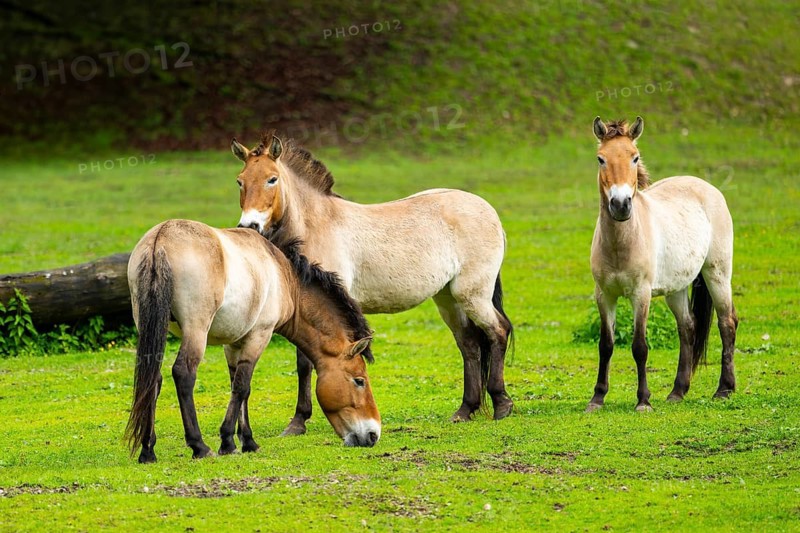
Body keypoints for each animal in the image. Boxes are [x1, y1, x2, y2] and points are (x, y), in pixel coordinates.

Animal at [124, 219, 380, 463]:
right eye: (359, 381)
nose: (373, 435)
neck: (284, 278)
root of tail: (161, 239)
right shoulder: (259, 335)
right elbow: (242, 386)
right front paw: (229, 441)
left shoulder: (234, 343)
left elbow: (236, 386)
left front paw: (244, 440)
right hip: (196, 330)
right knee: (183, 374)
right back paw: (199, 446)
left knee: (153, 380)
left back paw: (148, 450)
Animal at [229, 133, 514, 435]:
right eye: (240, 180)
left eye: (272, 179)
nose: (249, 225)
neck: (316, 225)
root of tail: (488, 211)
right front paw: (298, 421)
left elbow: (305, 363)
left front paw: (298, 421)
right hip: (448, 298)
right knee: (469, 343)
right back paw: (465, 410)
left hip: (472, 295)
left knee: (498, 331)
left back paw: (502, 405)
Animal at [587, 116, 738, 412]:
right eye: (601, 159)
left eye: (635, 157)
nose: (620, 205)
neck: (621, 243)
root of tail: (708, 188)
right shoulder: (604, 295)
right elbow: (606, 344)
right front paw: (597, 398)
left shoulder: (641, 295)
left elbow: (639, 346)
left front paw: (643, 400)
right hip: (676, 288)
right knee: (687, 327)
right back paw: (678, 391)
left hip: (717, 273)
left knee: (727, 322)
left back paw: (724, 389)